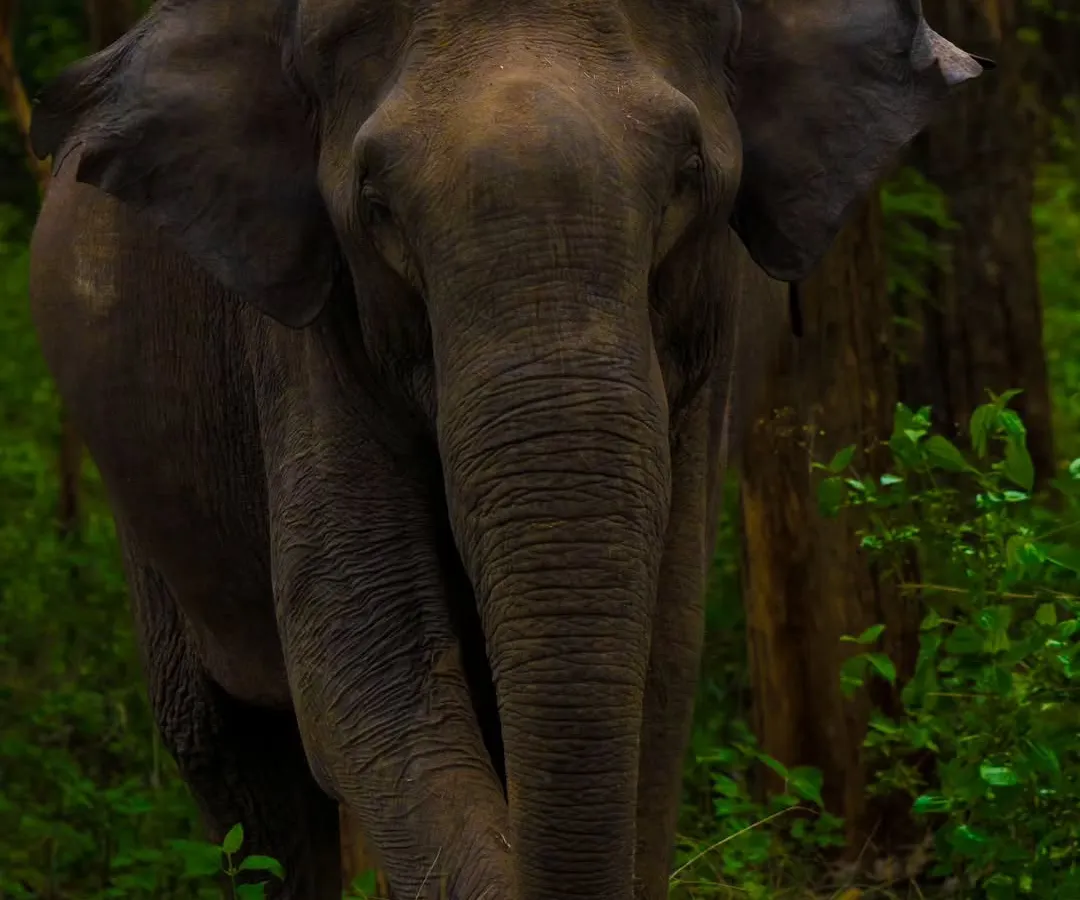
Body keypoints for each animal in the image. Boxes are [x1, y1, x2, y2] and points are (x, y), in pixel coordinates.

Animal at [26, 0, 986, 898]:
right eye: (375, 206)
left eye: (687, 173)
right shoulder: (303, 342)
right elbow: (363, 669)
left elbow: (662, 667)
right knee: (232, 757)